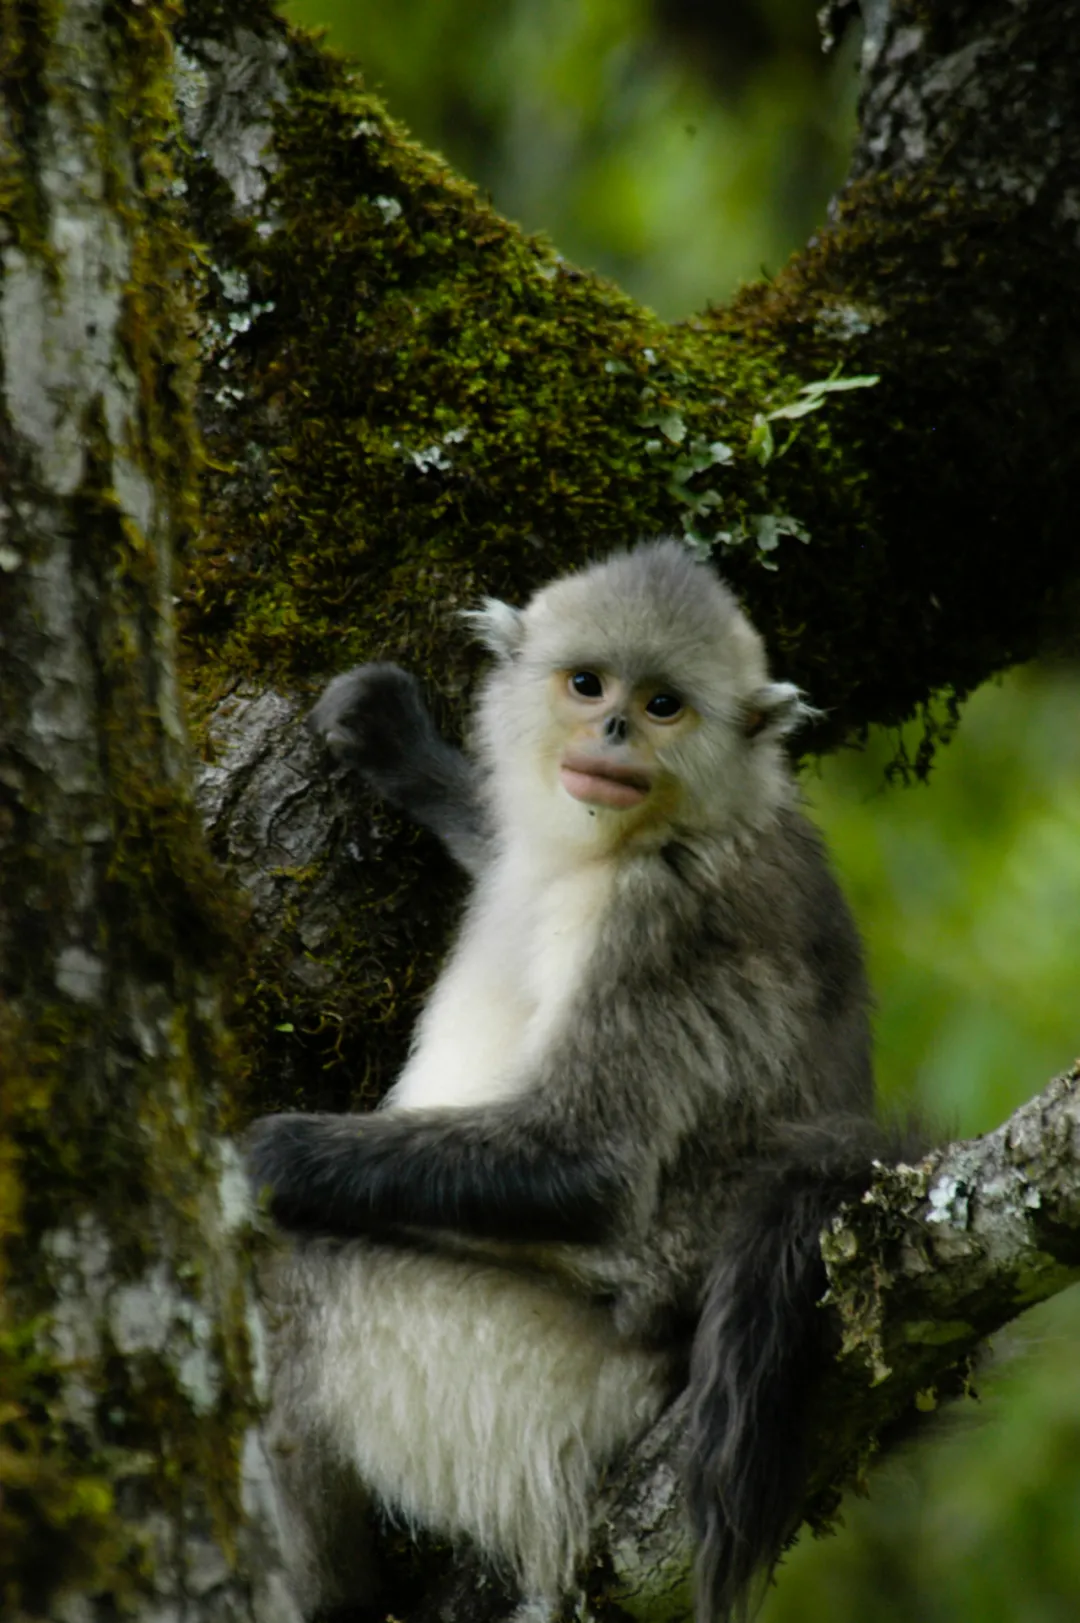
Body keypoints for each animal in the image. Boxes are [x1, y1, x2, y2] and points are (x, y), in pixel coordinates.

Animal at [248, 542, 889, 1623]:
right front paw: (402, 743)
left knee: (295, 1275)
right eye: (588, 685)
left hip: (527, 1389)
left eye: (664, 704)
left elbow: (588, 1165)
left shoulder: (659, 922)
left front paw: (248, 1154)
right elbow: (500, 836)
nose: (614, 731)